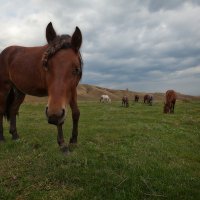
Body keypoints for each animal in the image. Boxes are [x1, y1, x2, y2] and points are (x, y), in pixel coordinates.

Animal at [0, 22, 83, 152]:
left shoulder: (72, 90)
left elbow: (76, 113)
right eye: (46, 65)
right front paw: (63, 145)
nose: (53, 117)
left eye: (76, 69)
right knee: (1, 109)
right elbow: (60, 120)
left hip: (19, 91)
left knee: (13, 109)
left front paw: (73, 140)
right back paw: (2, 138)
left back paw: (15, 136)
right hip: (4, 88)